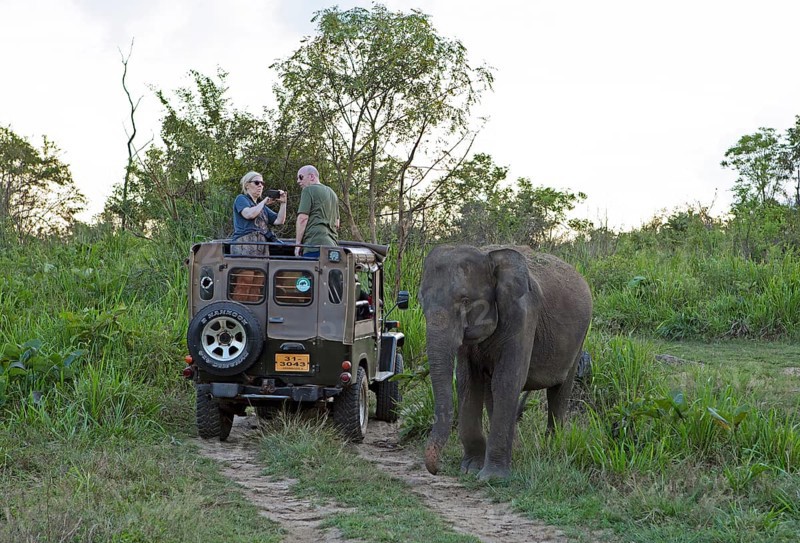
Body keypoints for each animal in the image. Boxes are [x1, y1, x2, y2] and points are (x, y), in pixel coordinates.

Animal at [418, 245, 592, 480]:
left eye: (465, 300)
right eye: (421, 301)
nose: (438, 469)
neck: (489, 258)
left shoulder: (523, 315)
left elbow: (508, 380)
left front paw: (491, 477)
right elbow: (468, 382)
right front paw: (470, 469)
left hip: (579, 339)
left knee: (559, 390)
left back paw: (551, 447)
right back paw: (517, 451)